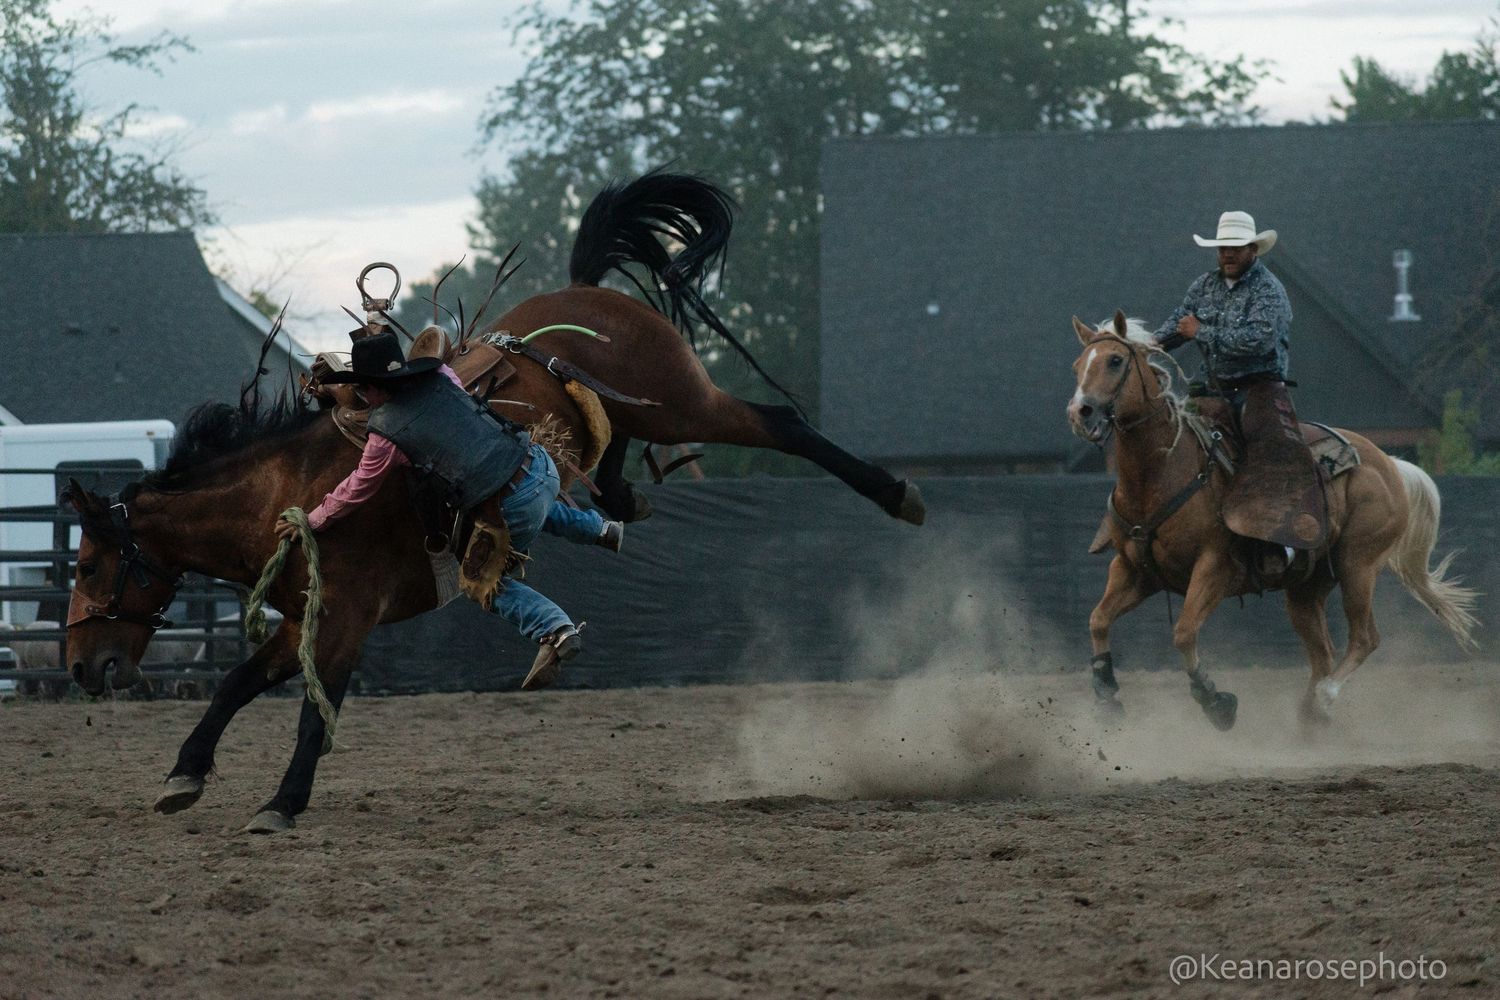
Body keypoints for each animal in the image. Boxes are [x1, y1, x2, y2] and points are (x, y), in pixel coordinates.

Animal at [64, 349, 602, 833]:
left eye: (87, 567)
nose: (78, 667)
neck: (278, 496)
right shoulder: (301, 620)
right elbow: (236, 683)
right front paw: (183, 776)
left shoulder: (344, 621)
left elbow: (314, 713)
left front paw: (280, 805)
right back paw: (602, 537)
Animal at [1066, 312, 1479, 728]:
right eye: (1078, 366)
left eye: (1115, 361)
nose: (1080, 413)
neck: (1163, 473)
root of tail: (1389, 463)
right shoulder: (1134, 570)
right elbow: (1098, 620)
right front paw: (1107, 697)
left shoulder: (1215, 567)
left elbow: (1183, 632)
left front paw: (1215, 701)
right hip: (1306, 587)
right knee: (1323, 654)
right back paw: (1308, 717)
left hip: (1358, 565)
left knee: (1364, 638)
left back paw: (1324, 698)